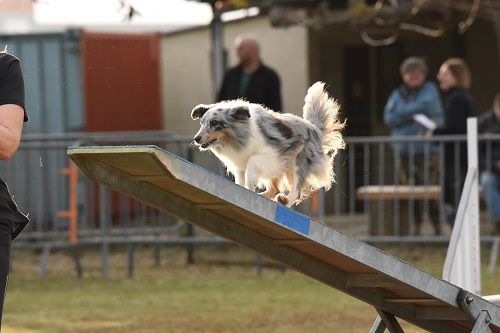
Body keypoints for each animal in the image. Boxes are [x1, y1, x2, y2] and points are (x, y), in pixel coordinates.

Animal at [190, 81, 344, 205]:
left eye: (214, 123)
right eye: (202, 123)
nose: (196, 138)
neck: (237, 138)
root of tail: (315, 129)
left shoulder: (275, 155)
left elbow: (252, 160)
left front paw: (251, 182)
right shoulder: (239, 167)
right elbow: (240, 181)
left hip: (297, 161)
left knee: (296, 190)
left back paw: (285, 200)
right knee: (275, 189)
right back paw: (264, 196)